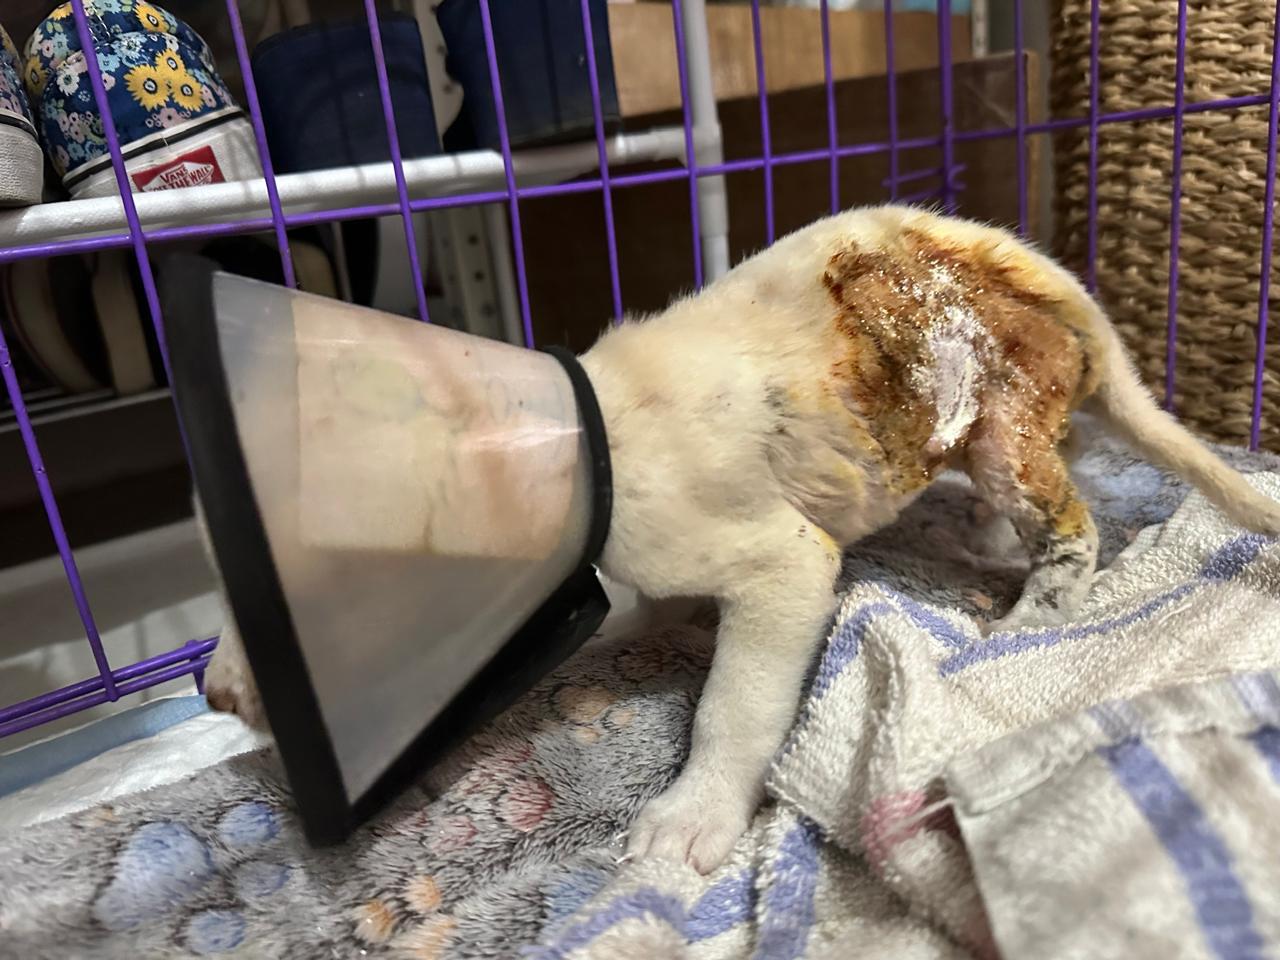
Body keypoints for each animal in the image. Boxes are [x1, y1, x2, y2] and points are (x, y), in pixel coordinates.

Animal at [201, 204, 1280, 874]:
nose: (212, 693)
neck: (584, 442)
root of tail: (1030, 263)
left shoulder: (777, 566)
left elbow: (735, 703)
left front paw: (690, 817)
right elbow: (611, 623)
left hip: (1008, 409)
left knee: (1072, 521)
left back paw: (1033, 613)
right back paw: (986, 539)